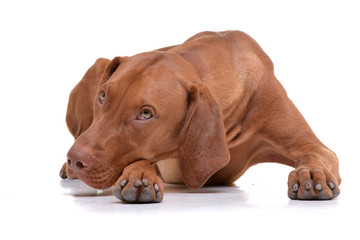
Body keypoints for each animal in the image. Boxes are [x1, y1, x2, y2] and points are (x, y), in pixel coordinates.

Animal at [60, 30, 342, 202]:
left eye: (145, 113)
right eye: (103, 95)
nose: (75, 159)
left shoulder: (310, 144)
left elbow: (317, 154)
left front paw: (311, 173)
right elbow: (145, 158)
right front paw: (139, 174)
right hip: (98, 64)